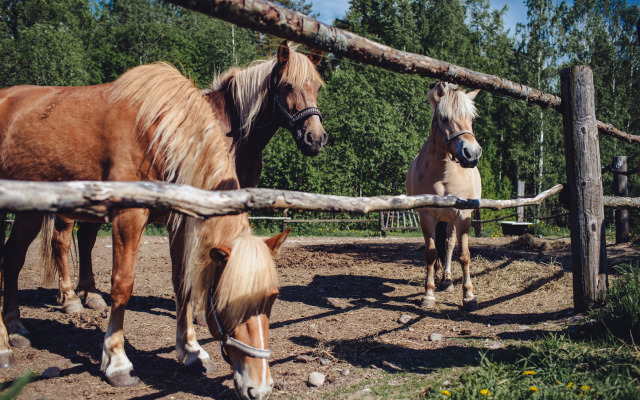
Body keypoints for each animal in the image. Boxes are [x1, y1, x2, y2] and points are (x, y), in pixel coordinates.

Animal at [0, 39, 322, 396]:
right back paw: (47, 315)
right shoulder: (131, 216)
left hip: (32, 213)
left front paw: (192, 351)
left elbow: (183, 281)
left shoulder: (183, 216)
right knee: (57, 243)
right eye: (287, 86)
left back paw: (21, 326)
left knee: (17, 257)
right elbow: (123, 284)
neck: (160, 131)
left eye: (318, 86)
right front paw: (117, 362)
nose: (316, 138)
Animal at [408, 82, 482, 312]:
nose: (472, 154)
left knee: (449, 246)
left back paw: (448, 280)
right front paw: (428, 295)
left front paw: (469, 296)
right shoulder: (427, 216)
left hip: (450, 219)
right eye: (444, 118)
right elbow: (431, 254)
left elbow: (463, 254)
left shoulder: (463, 215)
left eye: (471, 118)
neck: (444, 174)